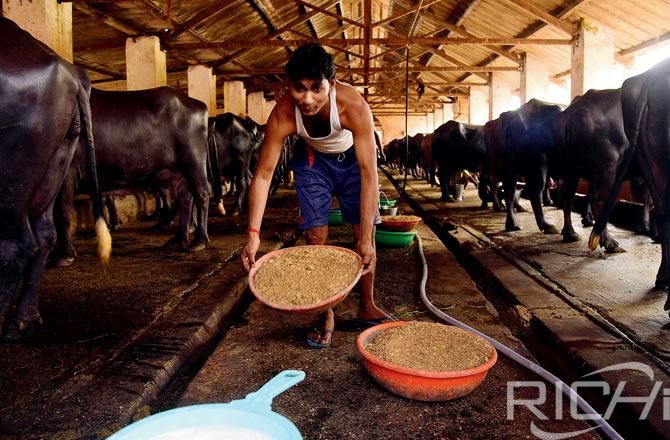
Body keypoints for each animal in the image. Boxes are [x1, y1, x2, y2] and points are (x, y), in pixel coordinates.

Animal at [0, 18, 110, 336]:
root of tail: (71, 75)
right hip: (56, 163)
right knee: (44, 232)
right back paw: (23, 320)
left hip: (13, 170)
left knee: (15, 244)